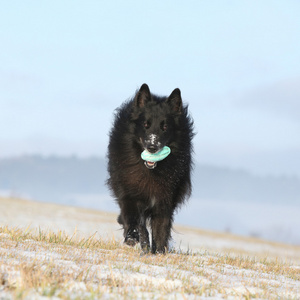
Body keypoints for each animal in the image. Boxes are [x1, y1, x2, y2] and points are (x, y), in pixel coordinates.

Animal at [106, 84, 193, 253]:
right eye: (145, 124)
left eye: (165, 126)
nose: (152, 147)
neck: (150, 171)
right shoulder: (130, 194)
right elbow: (135, 222)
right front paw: (133, 238)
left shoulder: (164, 200)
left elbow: (160, 230)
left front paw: (158, 253)